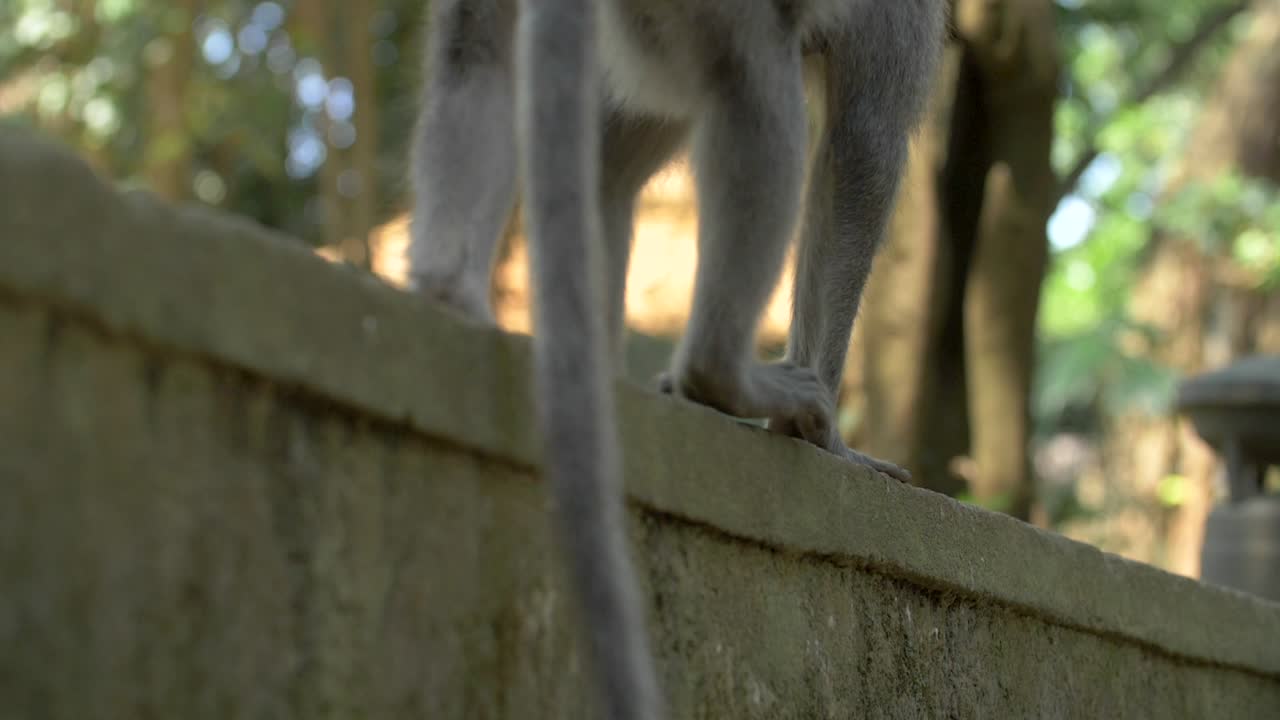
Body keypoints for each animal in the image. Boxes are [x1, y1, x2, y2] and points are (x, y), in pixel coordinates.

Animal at [409, 1, 946, 718]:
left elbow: (621, 146)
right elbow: (864, 145)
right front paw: (825, 440)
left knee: (486, 62)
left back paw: (457, 297)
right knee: (756, 86)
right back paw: (718, 375)